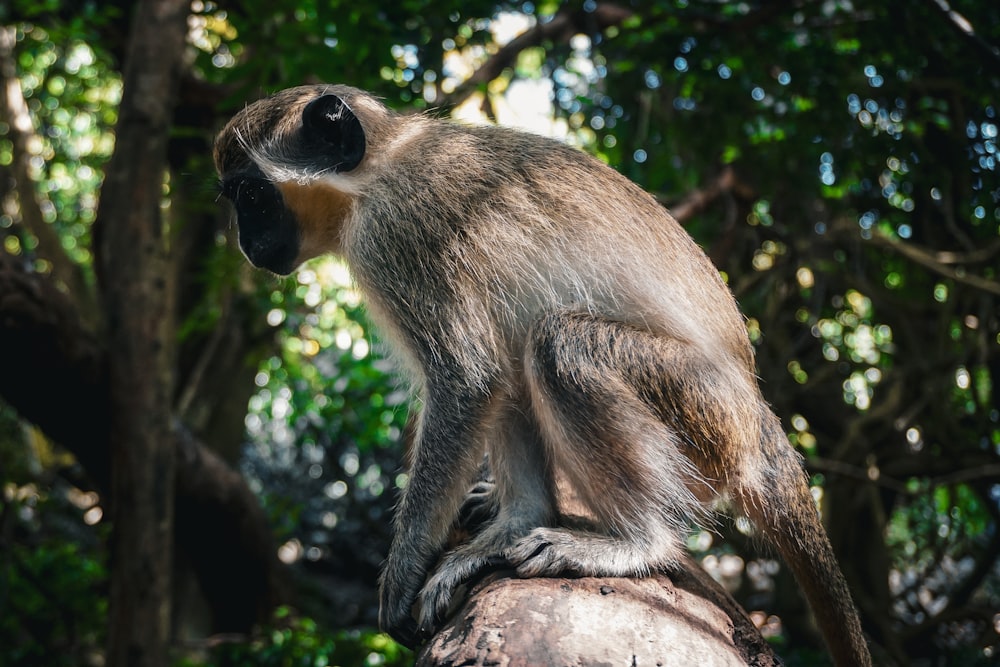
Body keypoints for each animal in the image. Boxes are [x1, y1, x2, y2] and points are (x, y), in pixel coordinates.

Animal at [215, 83, 872, 667]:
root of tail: (759, 427)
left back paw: (637, 543)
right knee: (516, 345)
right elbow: (490, 378)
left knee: (557, 345)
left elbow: (467, 381)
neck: (380, 163)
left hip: (703, 414)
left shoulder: (395, 235)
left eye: (252, 197)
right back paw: (521, 521)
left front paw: (400, 577)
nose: (247, 244)